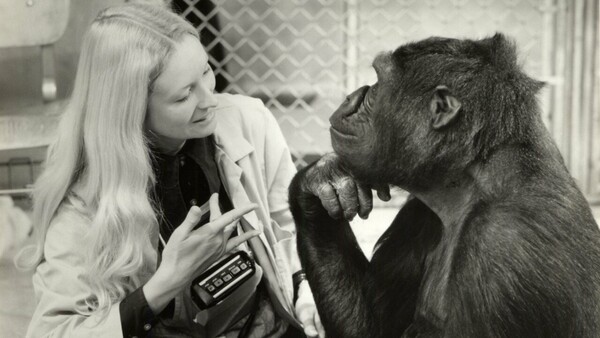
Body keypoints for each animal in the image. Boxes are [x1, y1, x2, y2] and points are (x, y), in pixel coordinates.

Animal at [288, 32, 596, 338]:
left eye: (377, 83)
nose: (350, 97)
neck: (469, 178)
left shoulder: (501, 247)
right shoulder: (418, 210)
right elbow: (373, 326)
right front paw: (323, 178)